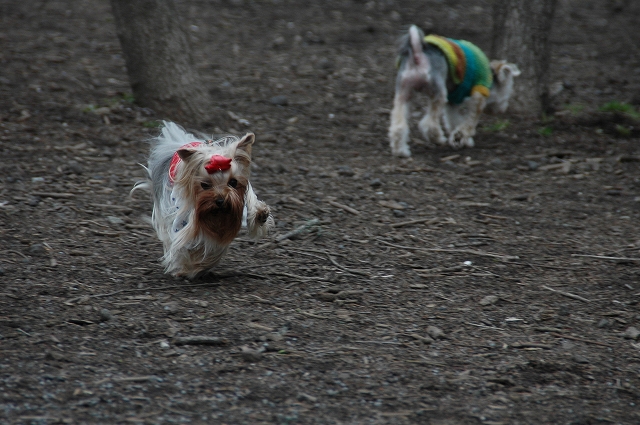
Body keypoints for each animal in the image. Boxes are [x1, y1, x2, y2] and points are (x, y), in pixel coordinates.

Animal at [390, 24, 520, 156]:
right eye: (508, 93)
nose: (503, 110)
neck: (490, 78)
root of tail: (418, 55)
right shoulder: (478, 96)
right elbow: (469, 121)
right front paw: (462, 136)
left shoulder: (452, 101)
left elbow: (454, 120)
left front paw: (460, 138)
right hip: (438, 93)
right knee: (429, 124)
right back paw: (438, 138)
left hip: (404, 92)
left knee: (398, 126)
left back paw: (401, 151)